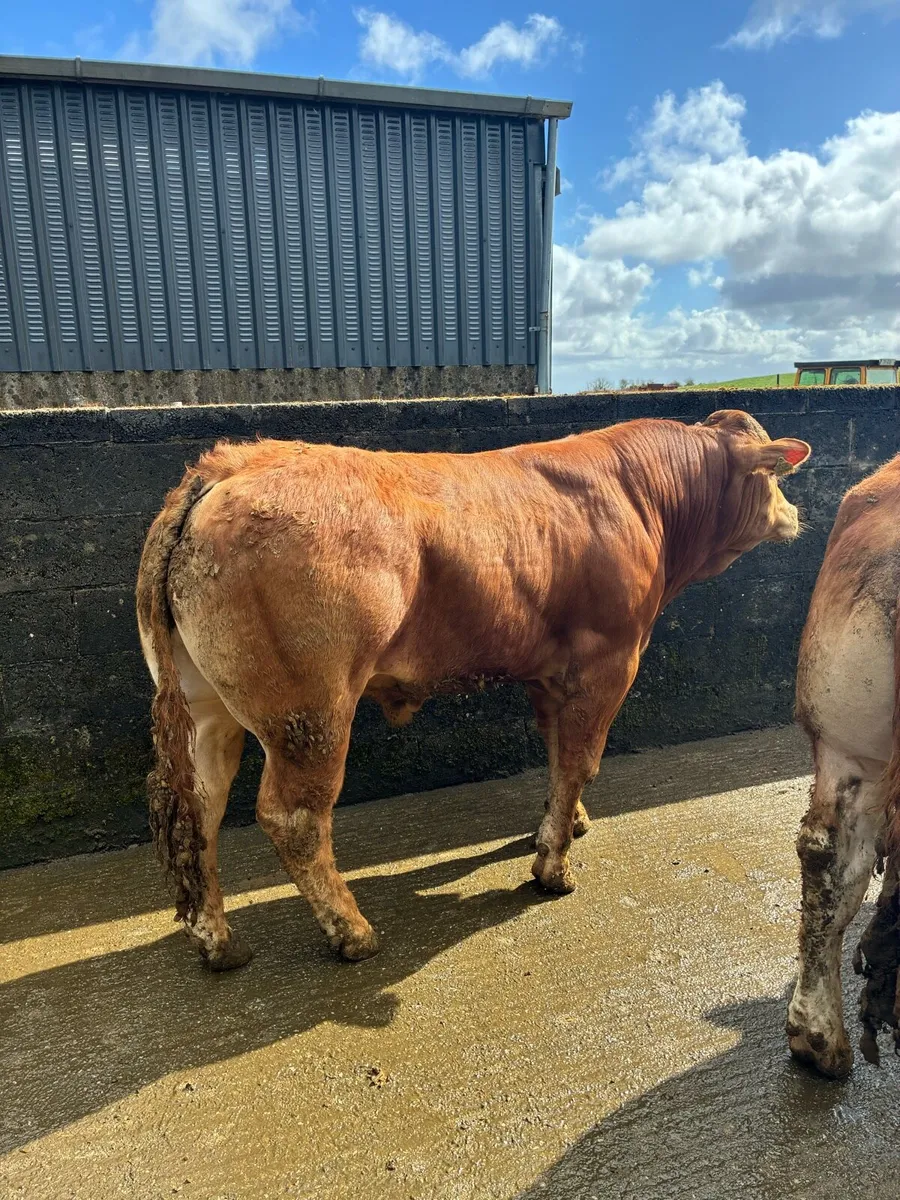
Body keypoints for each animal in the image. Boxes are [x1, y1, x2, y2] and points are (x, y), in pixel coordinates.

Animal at [136, 409, 810, 971]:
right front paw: (553, 867)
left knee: (200, 806)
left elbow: (557, 752)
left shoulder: (549, 671)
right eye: (777, 475)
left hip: (206, 705)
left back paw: (218, 942)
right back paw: (352, 931)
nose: (796, 515)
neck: (641, 499)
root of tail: (228, 465)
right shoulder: (609, 660)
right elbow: (581, 759)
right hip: (310, 711)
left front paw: (562, 824)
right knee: (294, 817)